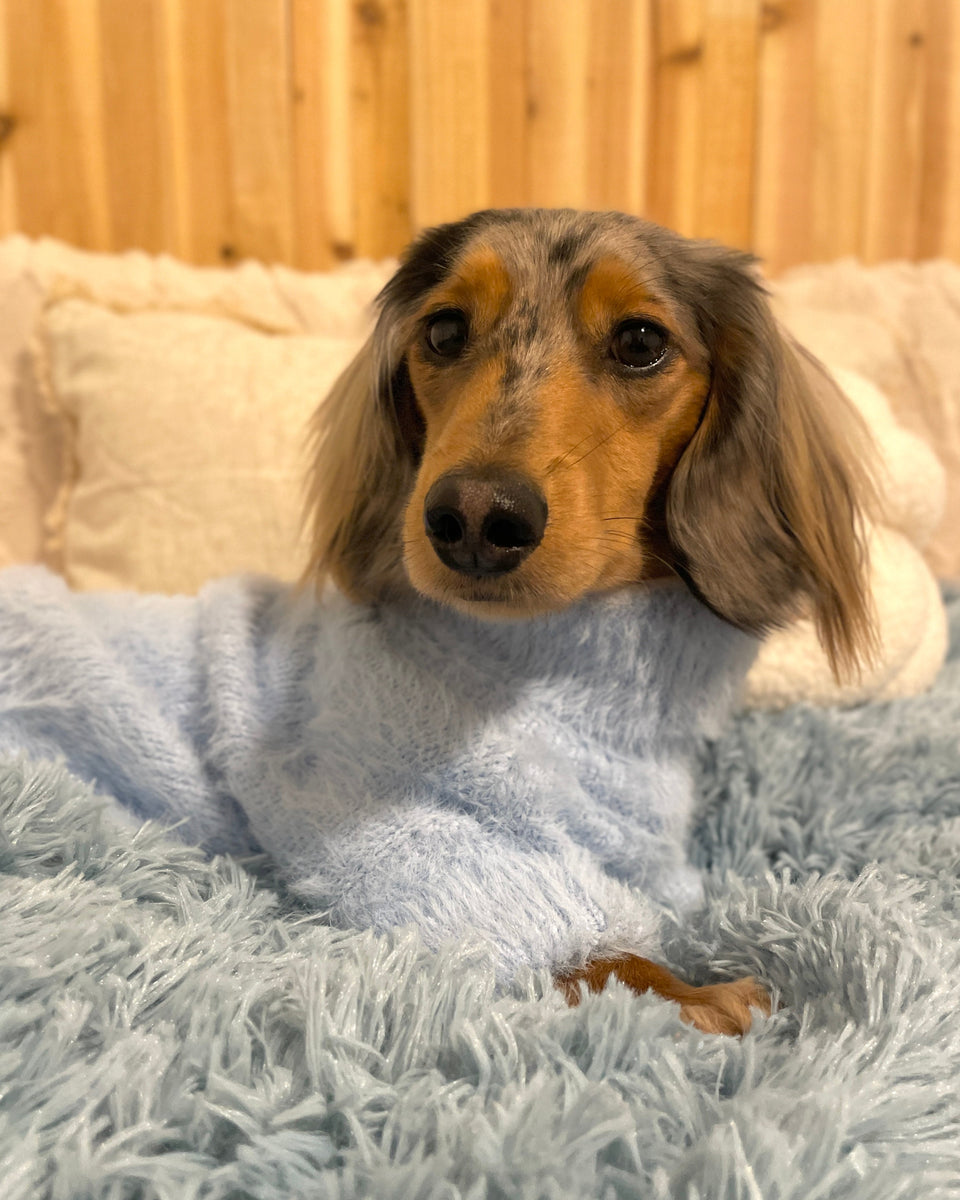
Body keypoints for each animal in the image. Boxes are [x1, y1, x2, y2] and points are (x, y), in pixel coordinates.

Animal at [303, 208, 876, 1035]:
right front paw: (700, 998)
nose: (473, 518)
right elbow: (595, 950)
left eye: (640, 341)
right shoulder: (420, 843)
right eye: (443, 330)